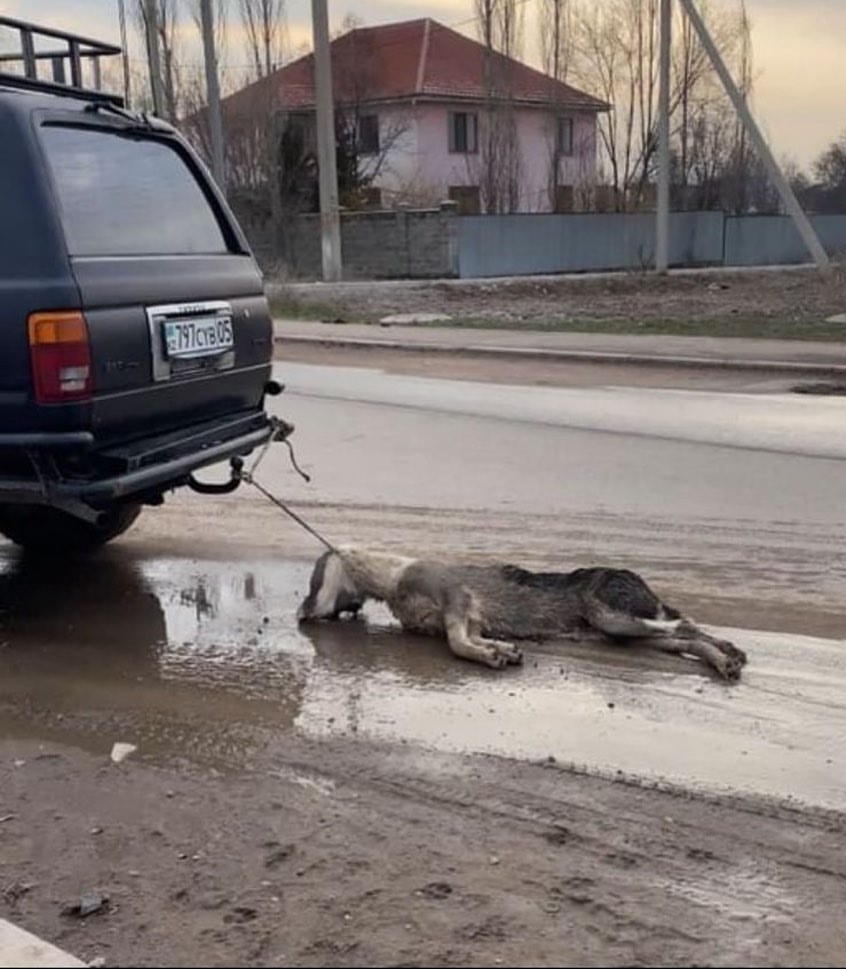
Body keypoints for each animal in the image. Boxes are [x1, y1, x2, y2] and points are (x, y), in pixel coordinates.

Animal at [298, 544, 748, 680]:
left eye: (313, 578)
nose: (299, 613)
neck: (392, 578)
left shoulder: (458, 601)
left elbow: (458, 643)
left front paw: (489, 654)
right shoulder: (468, 619)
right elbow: (471, 639)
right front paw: (499, 650)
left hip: (613, 616)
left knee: (685, 623)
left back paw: (729, 654)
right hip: (627, 635)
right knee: (684, 636)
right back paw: (725, 658)